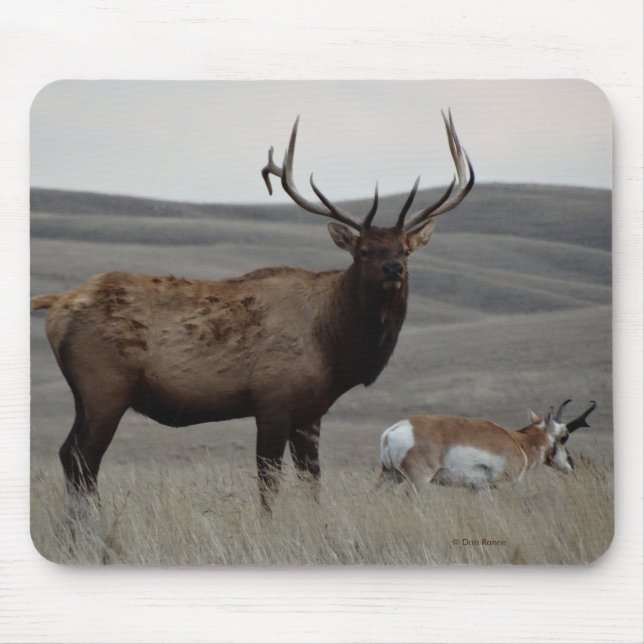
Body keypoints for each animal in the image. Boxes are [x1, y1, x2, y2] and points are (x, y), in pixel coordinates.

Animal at [31, 111, 474, 517]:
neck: (334, 346)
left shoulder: (310, 413)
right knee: (82, 458)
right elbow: (268, 483)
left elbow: (312, 484)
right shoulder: (273, 399)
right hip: (104, 387)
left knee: (69, 455)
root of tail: (57, 303)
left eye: (404, 249)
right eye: (364, 251)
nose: (393, 270)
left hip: (85, 395)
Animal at [379, 400, 597, 490]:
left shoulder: (479, 489)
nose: (571, 464)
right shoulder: (505, 485)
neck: (519, 441)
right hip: (418, 480)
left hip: (390, 477)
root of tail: (393, 431)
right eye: (564, 436)